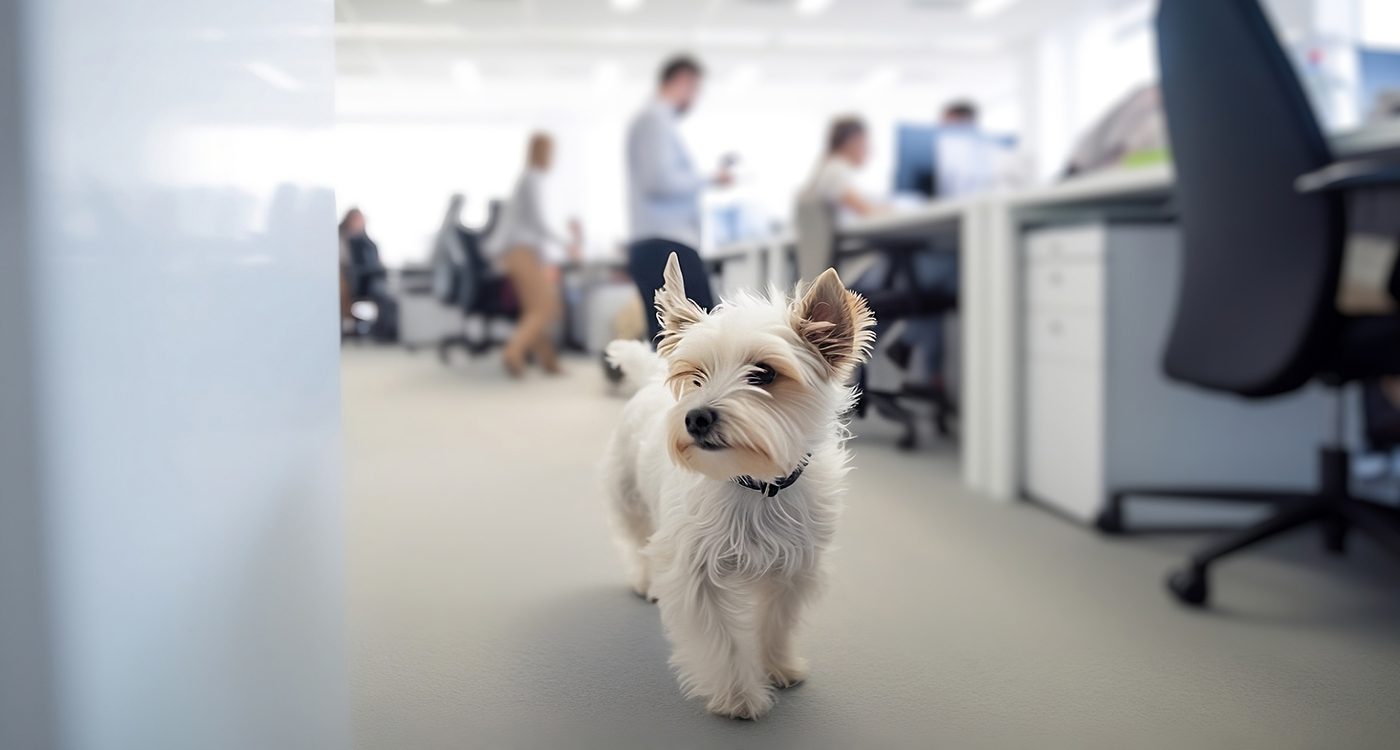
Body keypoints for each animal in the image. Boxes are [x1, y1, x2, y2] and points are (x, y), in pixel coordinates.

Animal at [604, 253, 873, 722]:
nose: (695, 416)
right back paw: (645, 580)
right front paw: (739, 697)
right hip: (630, 497)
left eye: (763, 374)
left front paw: (777, 667)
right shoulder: (696, 576)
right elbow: (723, 642)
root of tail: (648, 380)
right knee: (637, 539)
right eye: (696, 376)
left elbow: (775, 625)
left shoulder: (794, 569)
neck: (753, 484)